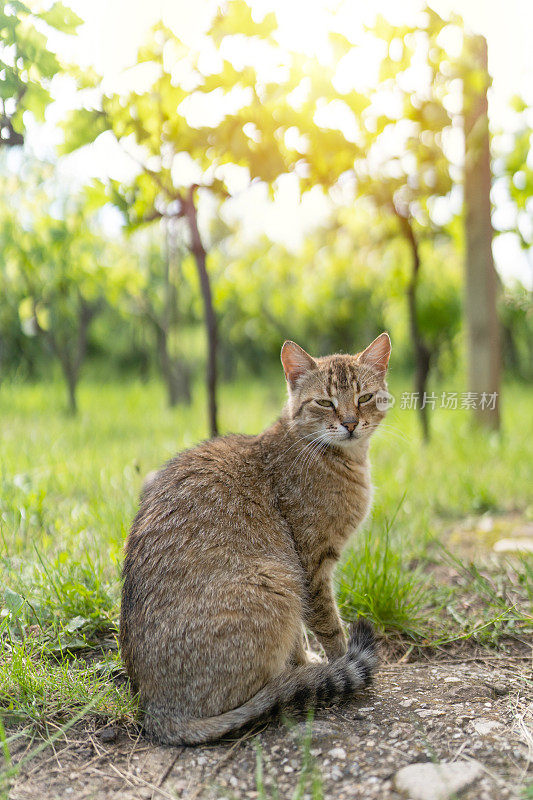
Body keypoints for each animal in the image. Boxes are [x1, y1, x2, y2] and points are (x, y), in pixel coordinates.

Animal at [122, 332, 392, 744]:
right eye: (325, 402)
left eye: (364, 397)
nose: (349, 423)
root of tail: (156, 711)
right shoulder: (308, 566)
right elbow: (327, 626)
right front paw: (333, 660)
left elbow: (299, 636)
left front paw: (310, 662)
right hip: (276, 580)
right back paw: (295, 684)